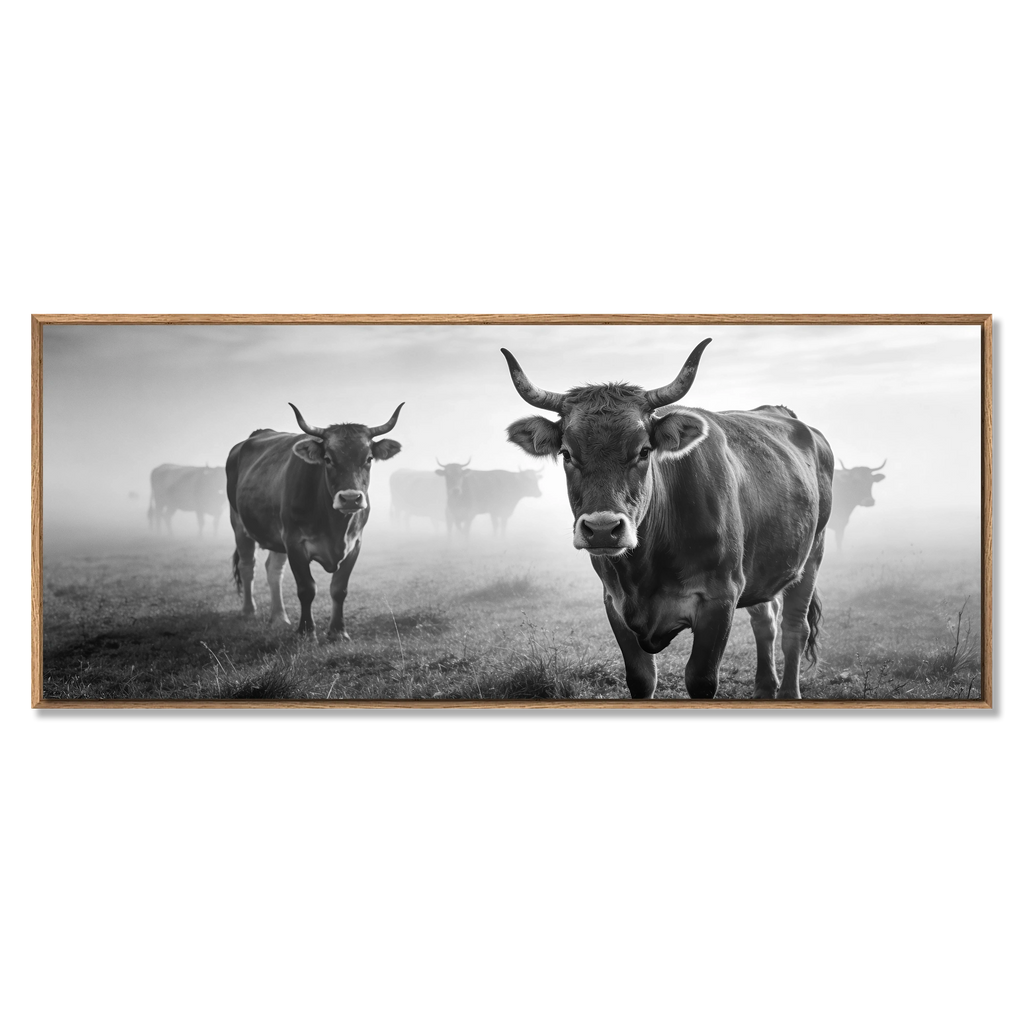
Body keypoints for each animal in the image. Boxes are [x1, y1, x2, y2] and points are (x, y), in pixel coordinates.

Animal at [226, 401, 403, 639]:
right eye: (328, 459)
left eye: (368, 459)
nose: (350, 498)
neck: (335, 526)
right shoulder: (295, 543)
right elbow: (306, 588)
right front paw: (306, 631)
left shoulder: (354, 544)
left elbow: (339, 589)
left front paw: (338, 631)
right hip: (239, 524)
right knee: (247, 566)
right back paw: (248, 611)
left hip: (276, 535)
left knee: (274, 571)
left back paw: (279, 617)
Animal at [502, 339, 834, 700]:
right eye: (566, 454)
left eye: (644, 451)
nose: (603, 530)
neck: (645, 568)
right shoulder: (614, 603)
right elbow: (642, 679)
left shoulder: (720, 599)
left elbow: (701, 679)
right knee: (765, 623)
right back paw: (763, 688)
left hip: (812, 556)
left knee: (794, 629)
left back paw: (788, 691)